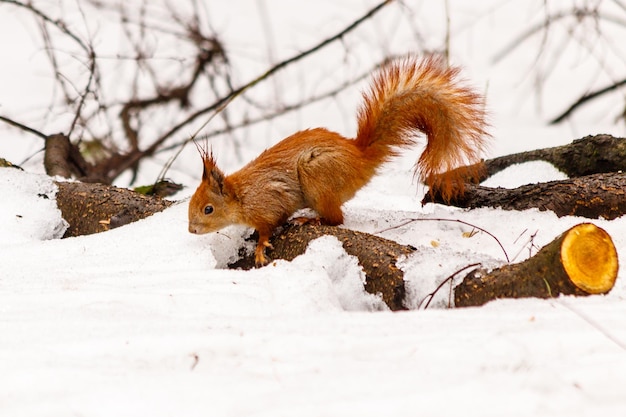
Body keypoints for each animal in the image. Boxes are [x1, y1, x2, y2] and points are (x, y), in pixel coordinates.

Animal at [188, 55, 490, 264]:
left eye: (208, 209)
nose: (191, 230)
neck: (242, 195)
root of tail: (360, 158)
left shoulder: (268, 203)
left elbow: (268, 226)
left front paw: (261, 246)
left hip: (317, 177)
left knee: (336, 219)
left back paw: (310, 220)